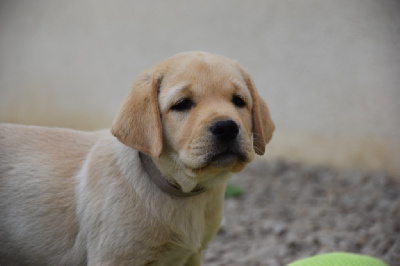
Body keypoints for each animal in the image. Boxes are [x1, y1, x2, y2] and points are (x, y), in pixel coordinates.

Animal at [0, 52, 276, 266]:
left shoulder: (191, 256)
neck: (181, 193)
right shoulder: (116, 257)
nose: (227, 127)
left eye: (239, 101)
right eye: (182, 104)